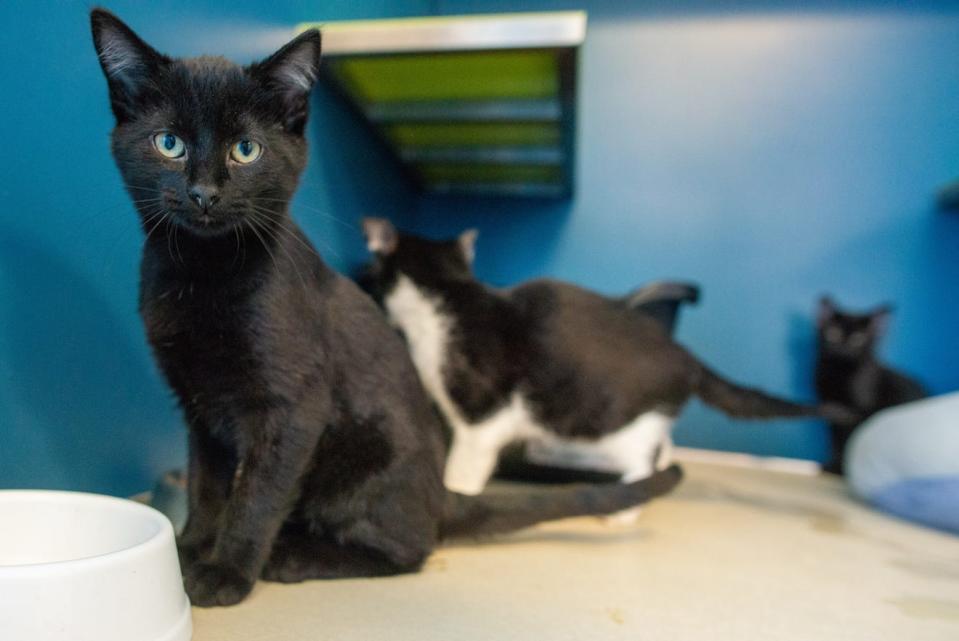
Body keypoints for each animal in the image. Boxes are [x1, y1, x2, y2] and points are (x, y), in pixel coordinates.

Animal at [90, 11, 684, 608]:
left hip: (366, 460)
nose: (204, 194)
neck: (200, 272)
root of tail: (440, 493)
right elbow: (209, 486)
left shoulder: (294, 407)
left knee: (409, 548)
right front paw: (187, 550)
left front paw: (226, 572)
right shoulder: (199, 407)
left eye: (246, 150)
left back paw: (294, 554)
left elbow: (255, 496)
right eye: (169, 144)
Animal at [360, 220, 848, 496]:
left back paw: (626, 507)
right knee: (664, 449)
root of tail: (685, 354)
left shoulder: (484, 414)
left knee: (642, 462)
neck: (448, 292)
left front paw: (455, 489)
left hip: (622, 428)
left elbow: (469, 458)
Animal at [812, 298, 928, 472]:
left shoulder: (859, 411)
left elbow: (848, 441)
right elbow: (836, 441)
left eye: (859, 339)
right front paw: (832, 464)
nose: (843, 348)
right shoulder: (832, 410)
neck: (839, 371)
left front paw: (839, 468)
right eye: (833, 333)